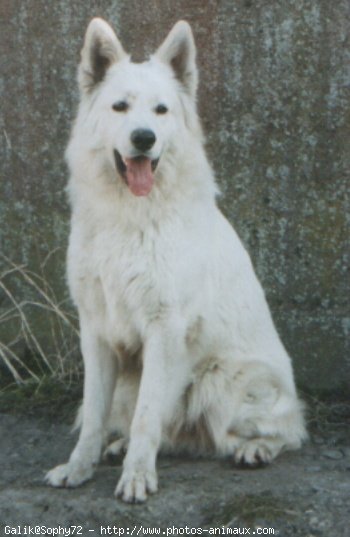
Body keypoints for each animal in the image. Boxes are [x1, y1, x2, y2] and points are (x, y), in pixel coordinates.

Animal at [47, 17, 306, 502]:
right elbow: (94, 414)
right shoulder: (96, 331)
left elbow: (148, 416)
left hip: (226, 379)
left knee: (286, 431)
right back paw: (121, 445)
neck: (131, 219)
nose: (144, 138)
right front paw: (79, 467)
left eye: (161, 111)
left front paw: (136, 477)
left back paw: (256, 449)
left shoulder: (164, 328)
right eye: (121, 107)